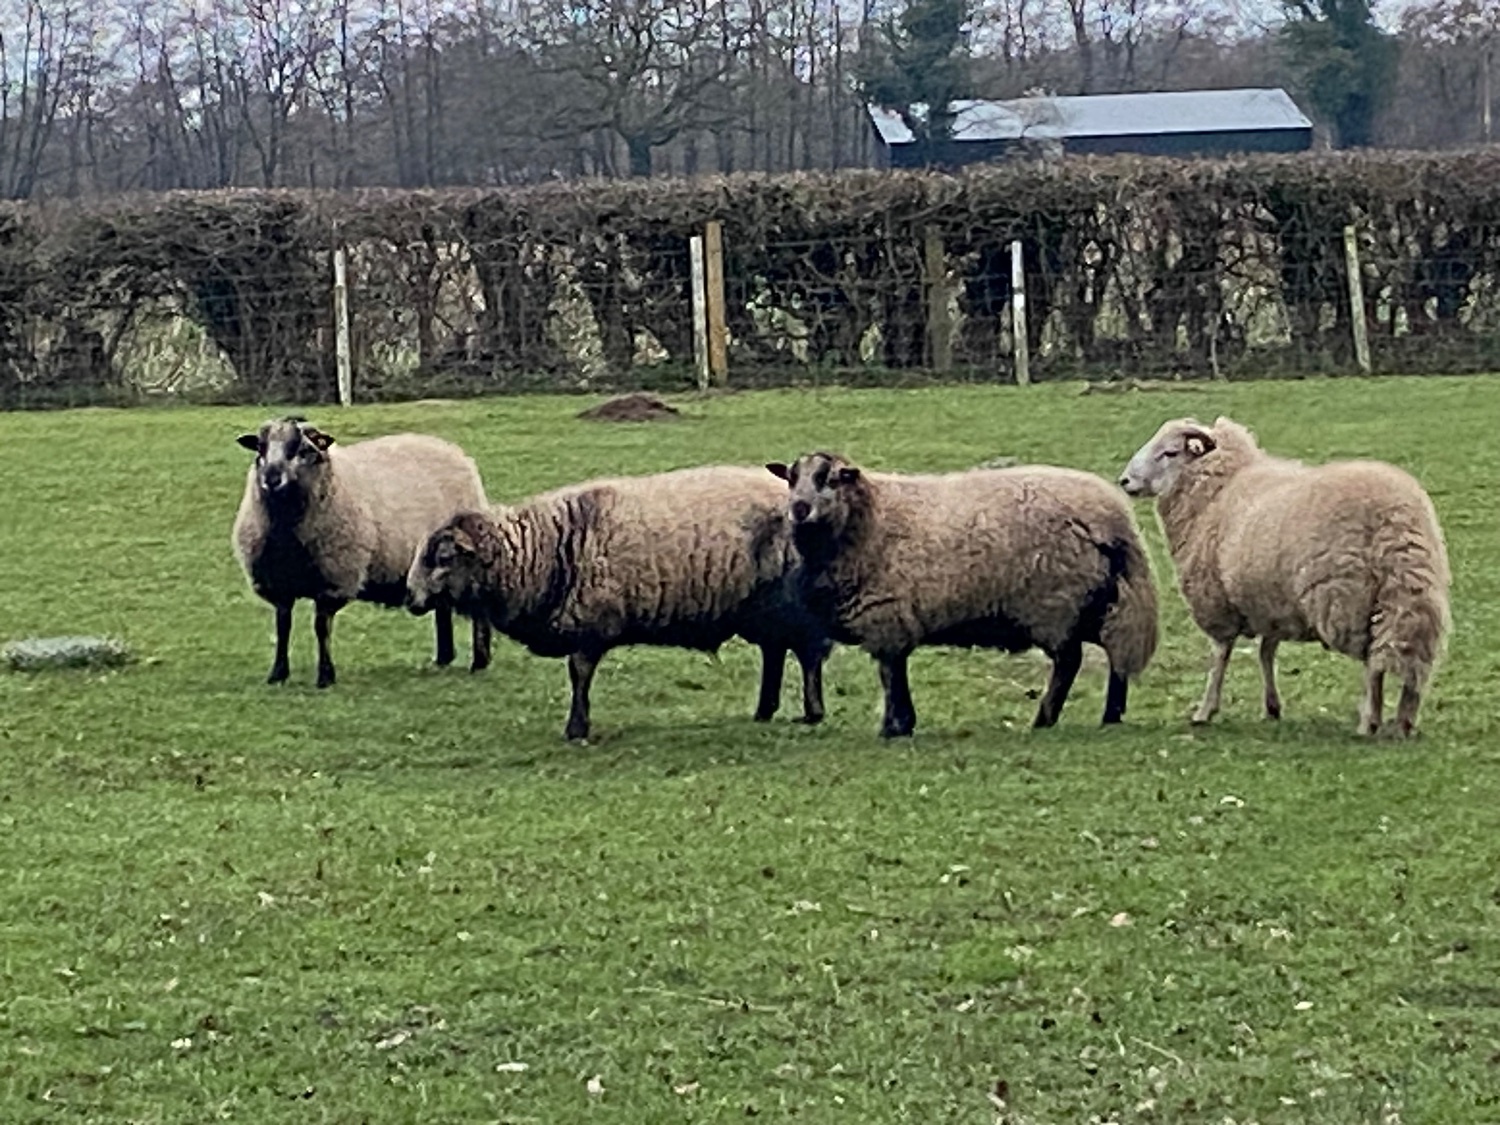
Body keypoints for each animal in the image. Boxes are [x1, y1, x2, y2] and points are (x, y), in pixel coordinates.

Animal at [232, 416, 493, 687]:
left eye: (302, 450)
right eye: (260, 448)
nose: (271, 479)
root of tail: (453, 451)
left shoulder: (334, 580)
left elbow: (321, 628)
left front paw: (325, 676)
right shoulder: (278, 584)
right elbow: (283, 627)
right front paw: (277, 674)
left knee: (479, 610)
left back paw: (479, 662)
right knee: (442, 607)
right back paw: (443, 658)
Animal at [404, 465, 832, 741]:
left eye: (443, 557)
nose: (409, 597)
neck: (541, 550)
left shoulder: (591, 622)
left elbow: (578, 673)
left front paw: (576, 729)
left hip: (794, 605)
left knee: (807, 654)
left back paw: (812, 713)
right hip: (764, 608)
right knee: (775, 652)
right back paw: (764, 710)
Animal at [765, 451, 1159, 738]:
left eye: (829, 479)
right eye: (791, 479)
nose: (799, 509)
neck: (867, 519)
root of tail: (1114, 519)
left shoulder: (885, 617)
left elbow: (890, 674)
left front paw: (892, 727)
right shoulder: (896, 622)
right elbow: (897, 672)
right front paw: (903, 724)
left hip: (1055, 603)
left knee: (1069, 661)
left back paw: (1044, 719)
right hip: (1097, 601)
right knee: (1117, 654)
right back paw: (1111, 715)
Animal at [1118, 415, 1451, 737]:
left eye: (1170, 452)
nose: (1124, 481)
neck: (1217, 491)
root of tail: (1397, 519)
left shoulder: (1217, 601)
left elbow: (1220, 657)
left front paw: (1205, 710)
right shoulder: (1271, 602)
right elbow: (1266, 652)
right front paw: (1272, 706)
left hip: (1347, 597)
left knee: (1374, 664)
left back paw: (1369, 721)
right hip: (1411, 594)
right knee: (1409, 657)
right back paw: (1404, 720)